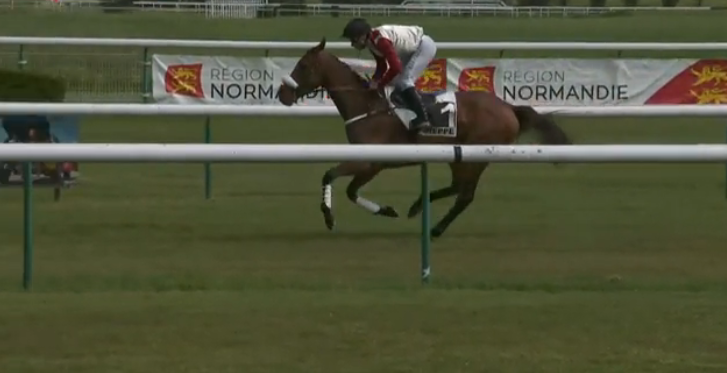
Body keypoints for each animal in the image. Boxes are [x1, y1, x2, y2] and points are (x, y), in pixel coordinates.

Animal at [276, 37, 572, 235]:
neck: (368, 106)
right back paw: (418, 206)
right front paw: (387, 210)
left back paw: (435, 229)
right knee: (458, 187)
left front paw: (329, 217)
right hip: (460, 155)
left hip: (476, 156)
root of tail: (509, 108)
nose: (282, 95)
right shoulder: (372, 163)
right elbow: (349, 190)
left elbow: (330, 177)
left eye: (303, 65)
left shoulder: (370, 162)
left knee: (465, 195)